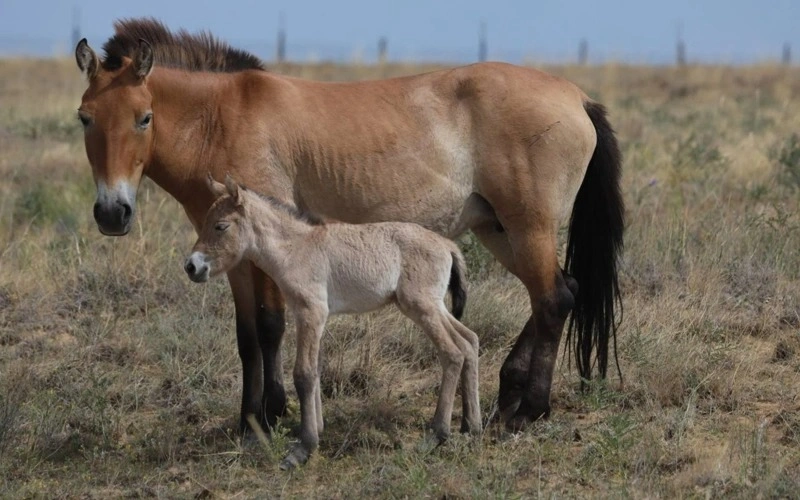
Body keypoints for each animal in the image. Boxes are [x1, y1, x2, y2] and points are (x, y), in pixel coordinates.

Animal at [75, 18, 623, 433]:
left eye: (144, 117)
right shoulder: (233, 258)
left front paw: (272, 415)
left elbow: (271, 326)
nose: (112, 213)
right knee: (562, 291)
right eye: (84, 117)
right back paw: (509, 391)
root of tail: (577, 98)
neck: (220, 119)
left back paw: (529, 410)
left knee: (554, 299)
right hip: (499, 230)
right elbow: (247, 335)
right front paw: (247, 419)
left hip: (527, 227)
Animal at [185, 174, 481, 468]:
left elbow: (303, 373)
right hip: (434, 306)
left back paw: (437, 435)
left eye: (221, 226)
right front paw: (317, 430)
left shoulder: (311, 312)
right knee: (469, 341)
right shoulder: (310, 315)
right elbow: (315, 370)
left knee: (452, 353)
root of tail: (447, 245)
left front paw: (303, 449)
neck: (295, 249)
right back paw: (471, 426)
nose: (192, 267)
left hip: (422, 306)